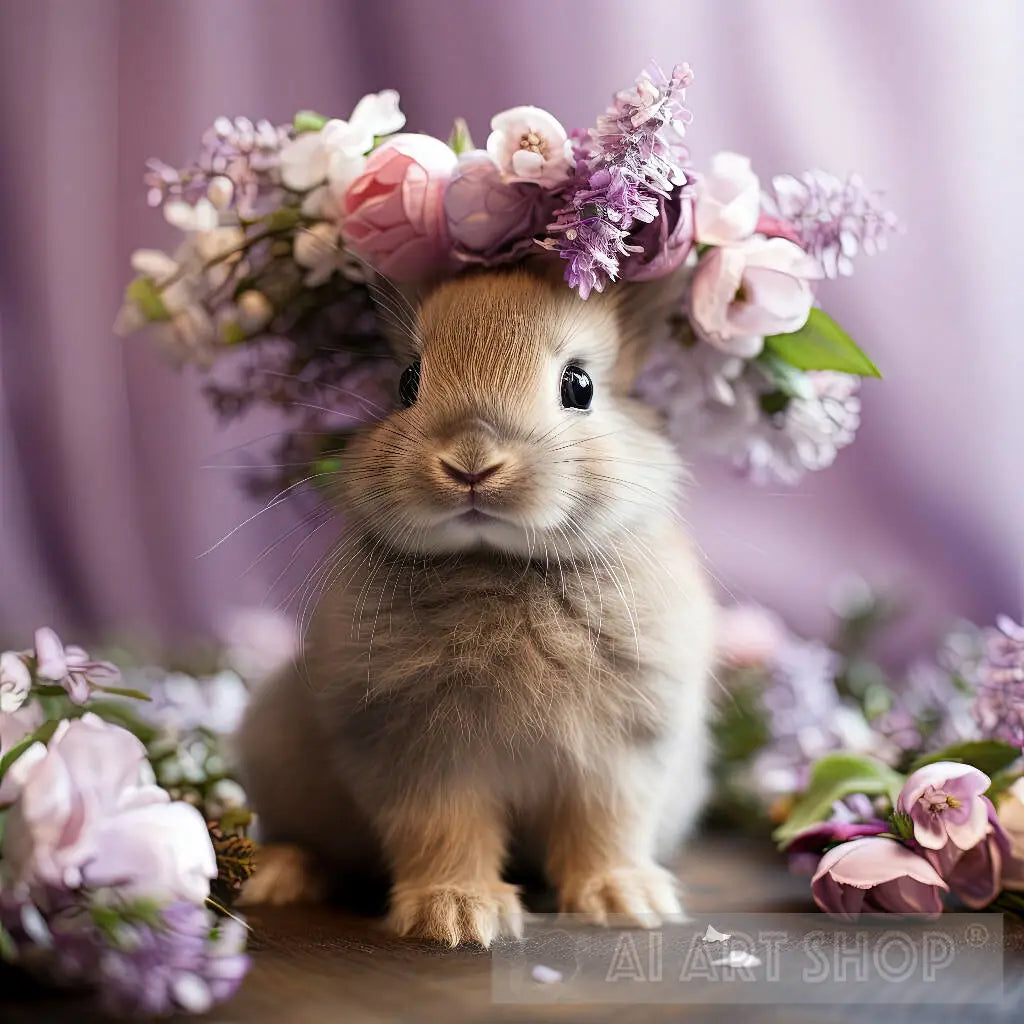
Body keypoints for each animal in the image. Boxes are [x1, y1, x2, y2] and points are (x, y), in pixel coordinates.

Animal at [235, 263, 717, 947]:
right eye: (407, 382)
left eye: (580, 386)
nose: (470, 463)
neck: (498, 562)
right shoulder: (417, 753)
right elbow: (443, 829)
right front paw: (457, 915)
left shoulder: (621, 756)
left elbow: (605, 826)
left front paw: (623, 901)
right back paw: (278, 878)